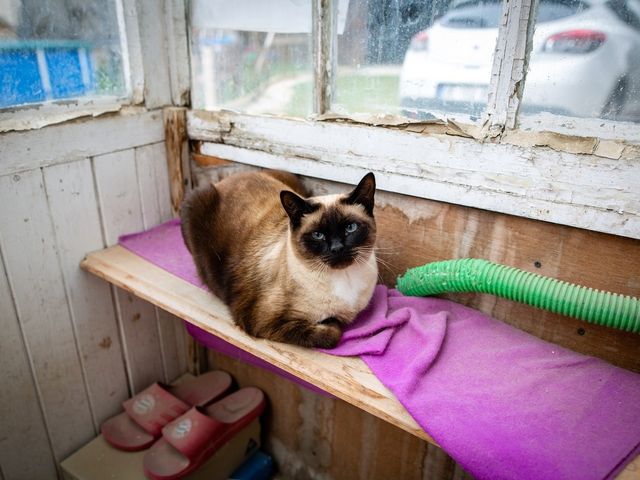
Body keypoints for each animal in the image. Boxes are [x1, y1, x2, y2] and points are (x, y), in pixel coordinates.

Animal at [180, 170, 378, 348]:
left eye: (350, 228)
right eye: (318, 235)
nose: (337, 248)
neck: (345, 279)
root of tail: (230, 177)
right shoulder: (265, 321)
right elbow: (331, 334)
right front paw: (332, 322)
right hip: (194, 202)